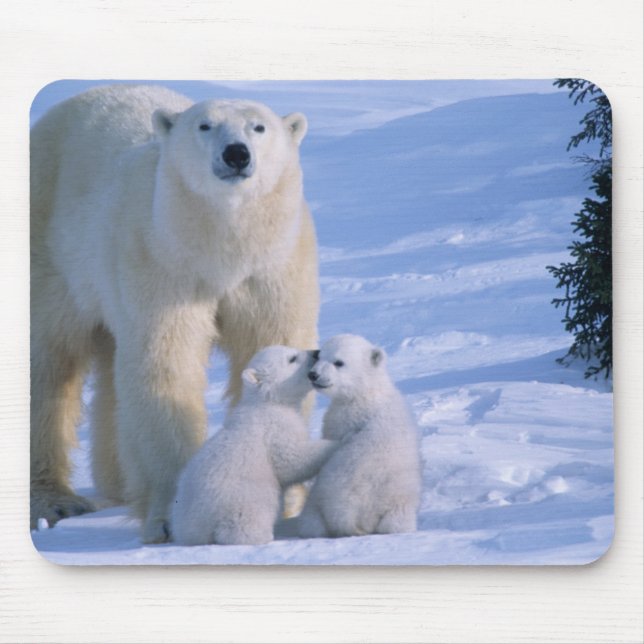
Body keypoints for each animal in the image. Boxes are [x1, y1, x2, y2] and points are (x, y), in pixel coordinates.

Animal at [30, 84, 319, 543]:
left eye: (259, 127)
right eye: (205, 125)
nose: (236, 154)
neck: (221, 250)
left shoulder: (274, 267)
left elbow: (273, 348)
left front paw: (284, 503)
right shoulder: (162, 262)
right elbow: (166, 364)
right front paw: (170, 516)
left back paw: (118, 485)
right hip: (52, 250)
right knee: (50, 363)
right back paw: (55, 501)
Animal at [171, 345, 337, 546]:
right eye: (292, 358)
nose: (316, 352)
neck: (267, 402)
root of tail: (195, 526)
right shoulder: (274, 427)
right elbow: (290, 460)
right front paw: (335, 443)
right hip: (243, 498)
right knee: (244, 523)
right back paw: (264, 535)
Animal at [297, 334, 422, 538]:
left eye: (339, 362)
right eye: (320, 356)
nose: (313, 375)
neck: (366, 392)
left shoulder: (344, 419)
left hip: (323, 495)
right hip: (399, 506)